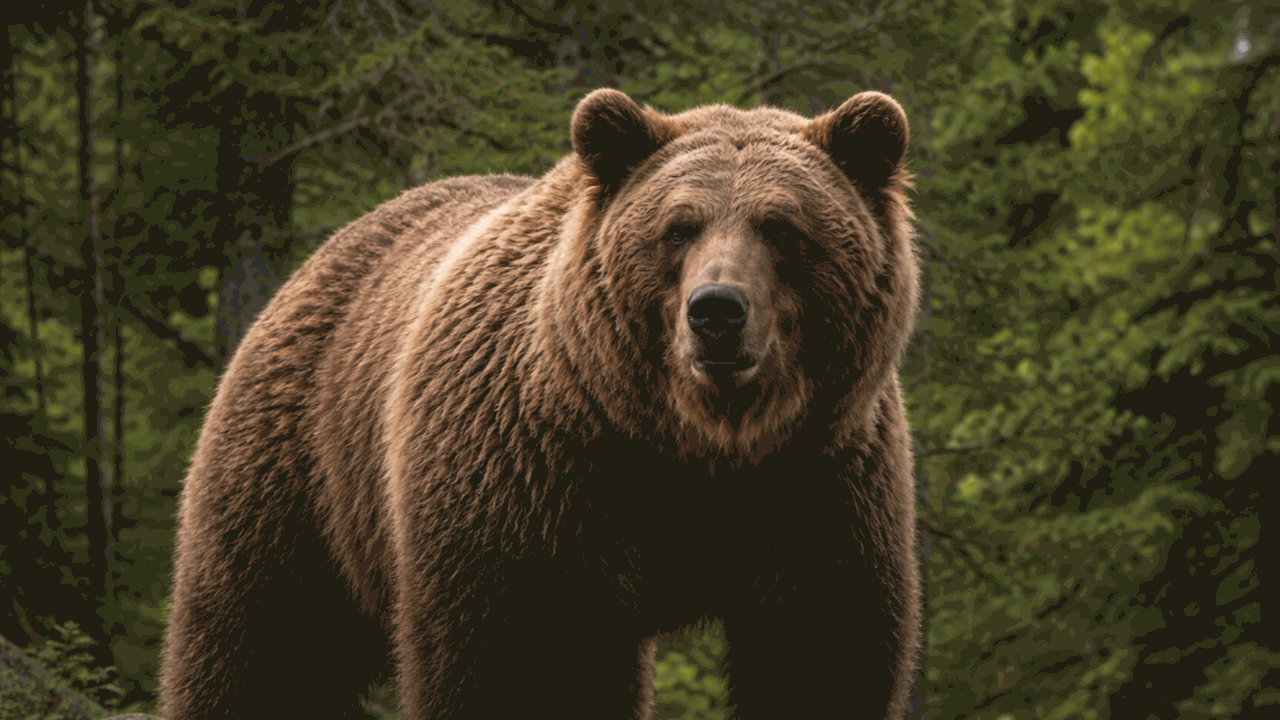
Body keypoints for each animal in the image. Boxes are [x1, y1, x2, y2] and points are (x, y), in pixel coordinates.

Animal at [159, 87, 921, 720]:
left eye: (782, 226)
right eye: (678, 227)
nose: (716, 312)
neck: (692, 444)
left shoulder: (817, 486)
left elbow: (821, 655)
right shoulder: (530, 486)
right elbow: (524, 664)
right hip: (302, 477)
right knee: (264, 646)